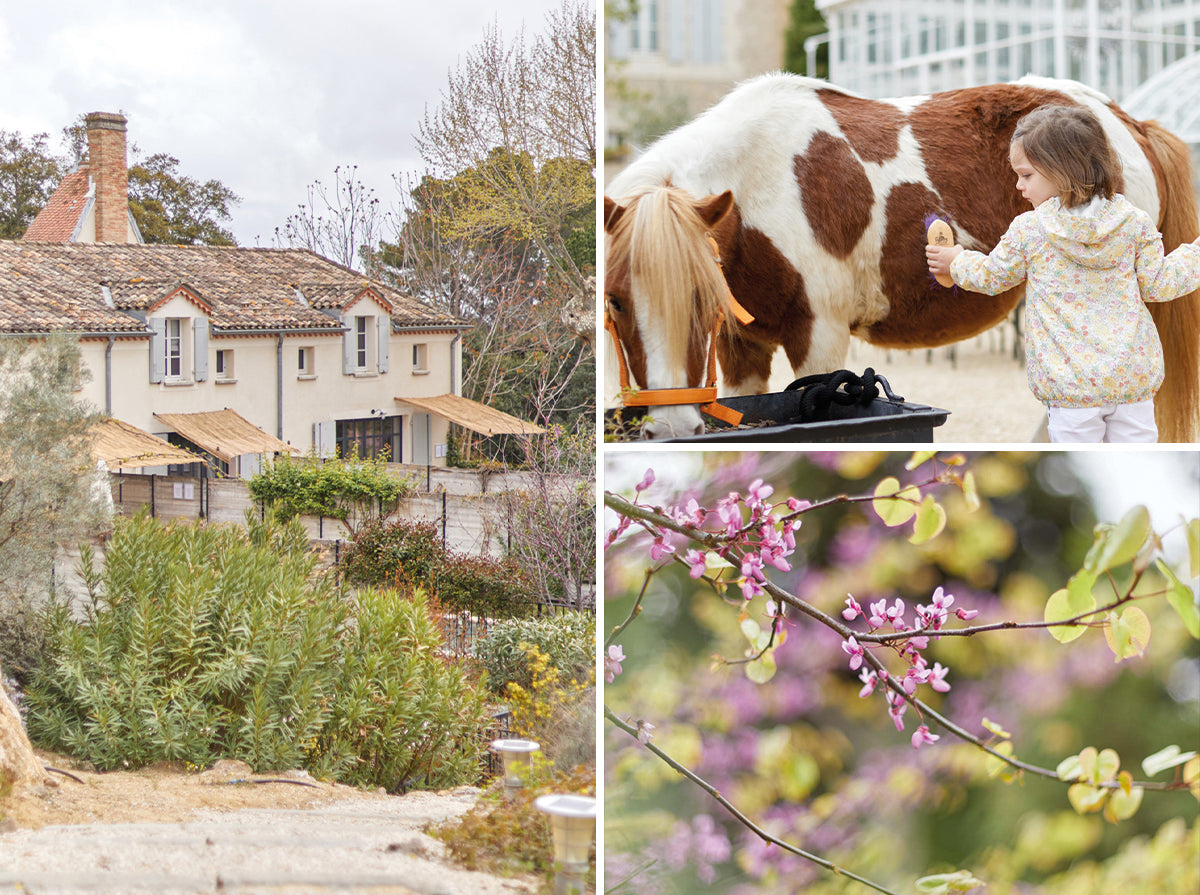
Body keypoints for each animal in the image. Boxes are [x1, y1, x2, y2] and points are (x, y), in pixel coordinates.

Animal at [609, 73, 1200, 439]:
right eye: (615, 303)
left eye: (699, 297)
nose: (671, 429)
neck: (761, 182)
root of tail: (1129, 123)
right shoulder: (741, 348)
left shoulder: (819, 340)